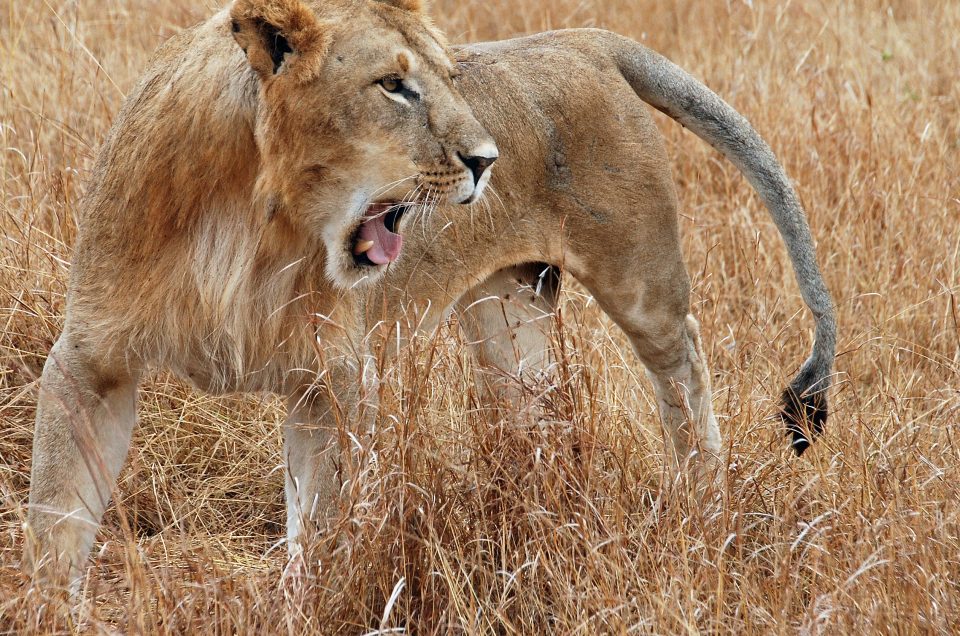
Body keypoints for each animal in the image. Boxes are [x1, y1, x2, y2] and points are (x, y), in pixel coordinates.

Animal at [26, 0, 836, 588]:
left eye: (450, 78)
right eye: (394, 84)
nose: (486, 160)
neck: (252, 217)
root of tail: (587, 38)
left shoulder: (337, 380)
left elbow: (318, 526)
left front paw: (312, 601)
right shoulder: (89, 360)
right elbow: (56, 512)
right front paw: (49, 607)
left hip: (641, 283)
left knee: (684, 369)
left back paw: (704, 508)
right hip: (507, 321)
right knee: (542, 415)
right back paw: (539, 522)